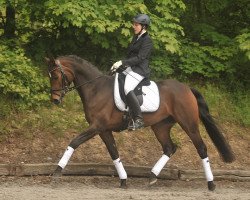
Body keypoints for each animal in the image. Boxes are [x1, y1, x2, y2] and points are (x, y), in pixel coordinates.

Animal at [45, 54, 234, 191]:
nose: (55, 100)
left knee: (201, 148)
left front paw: (56, 172)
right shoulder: (103, 130)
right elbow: (114, 153)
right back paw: (152, 177)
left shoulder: (96, 126)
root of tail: (186, 88)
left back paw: (211, 184)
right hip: (161, 126)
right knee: (169, 148)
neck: (96, 89)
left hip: (188, 123)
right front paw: (123, 180)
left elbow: (74, 142)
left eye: (55, 75)